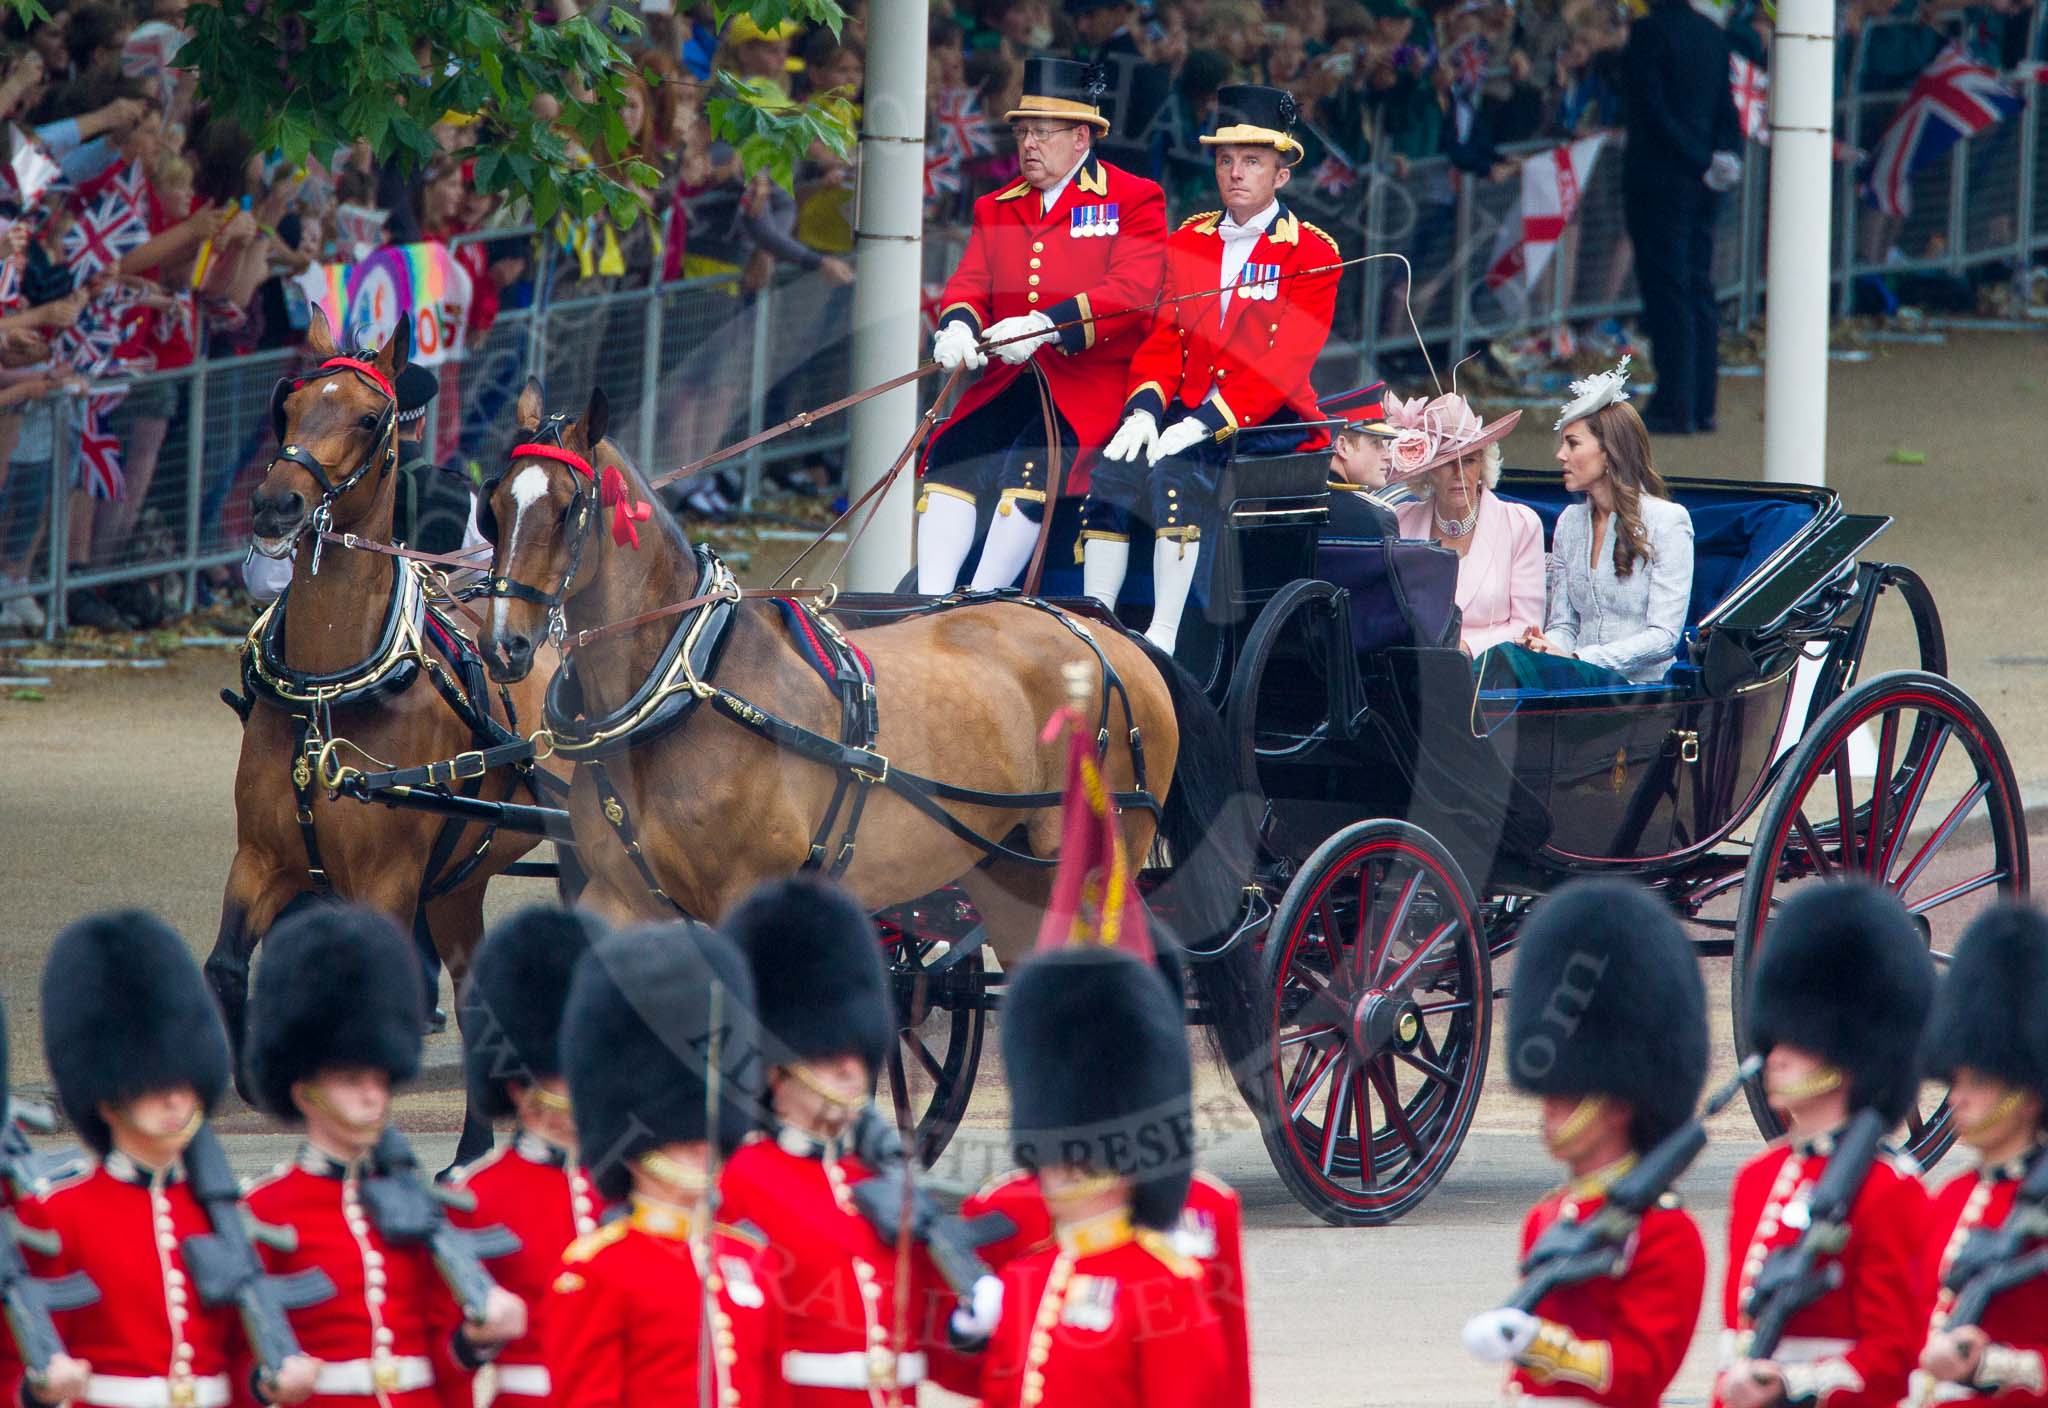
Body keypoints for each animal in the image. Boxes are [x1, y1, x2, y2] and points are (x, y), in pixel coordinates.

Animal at [211, 319, 557, 1162]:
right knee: (473, 997)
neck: (329, 691)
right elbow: (228, 966)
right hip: (460, 878)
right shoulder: (264, 856)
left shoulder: (387, 882)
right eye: (290, 403)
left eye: (370, 418)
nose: (276, 501)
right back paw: (469, 1150)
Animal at [479, 386, 1269, 1080]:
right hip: (1017, 873)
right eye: (493, 506)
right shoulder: (620, 900)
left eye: (567, 508)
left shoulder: (751, 897)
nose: (504, 646)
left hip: (1103, 864)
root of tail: (1108, 633)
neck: (686, 685)